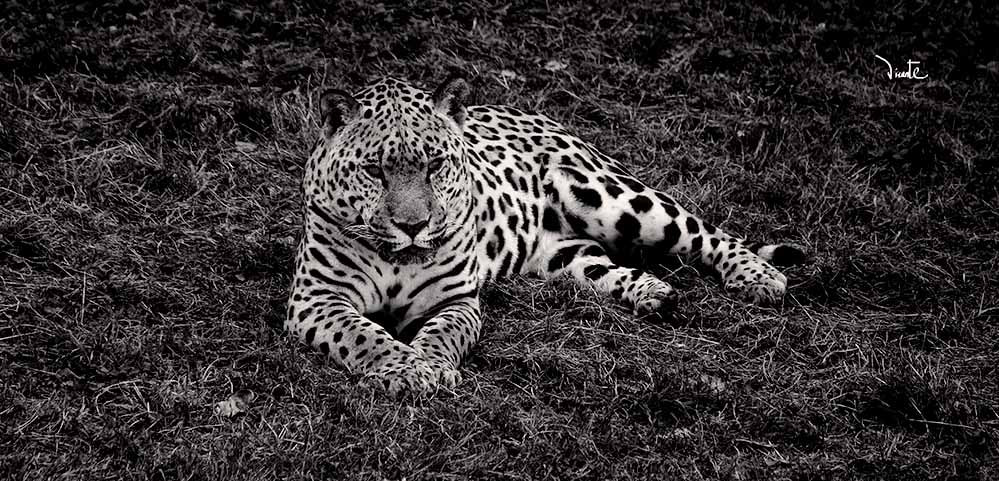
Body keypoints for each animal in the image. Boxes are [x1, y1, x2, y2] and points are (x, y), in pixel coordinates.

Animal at [285, 76, 807, 395]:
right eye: (374, 170)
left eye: (436, 165)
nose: (414, 227)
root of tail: (536, 114)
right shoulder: (317, 298)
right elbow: (365, 335)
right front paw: (408, 369)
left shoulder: (455, 301)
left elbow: (440, 335)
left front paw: (429, 365)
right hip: (565, 258)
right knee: (603, 265)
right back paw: (651, 292)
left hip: (616, 198)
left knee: (706, 232)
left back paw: (758, 277)